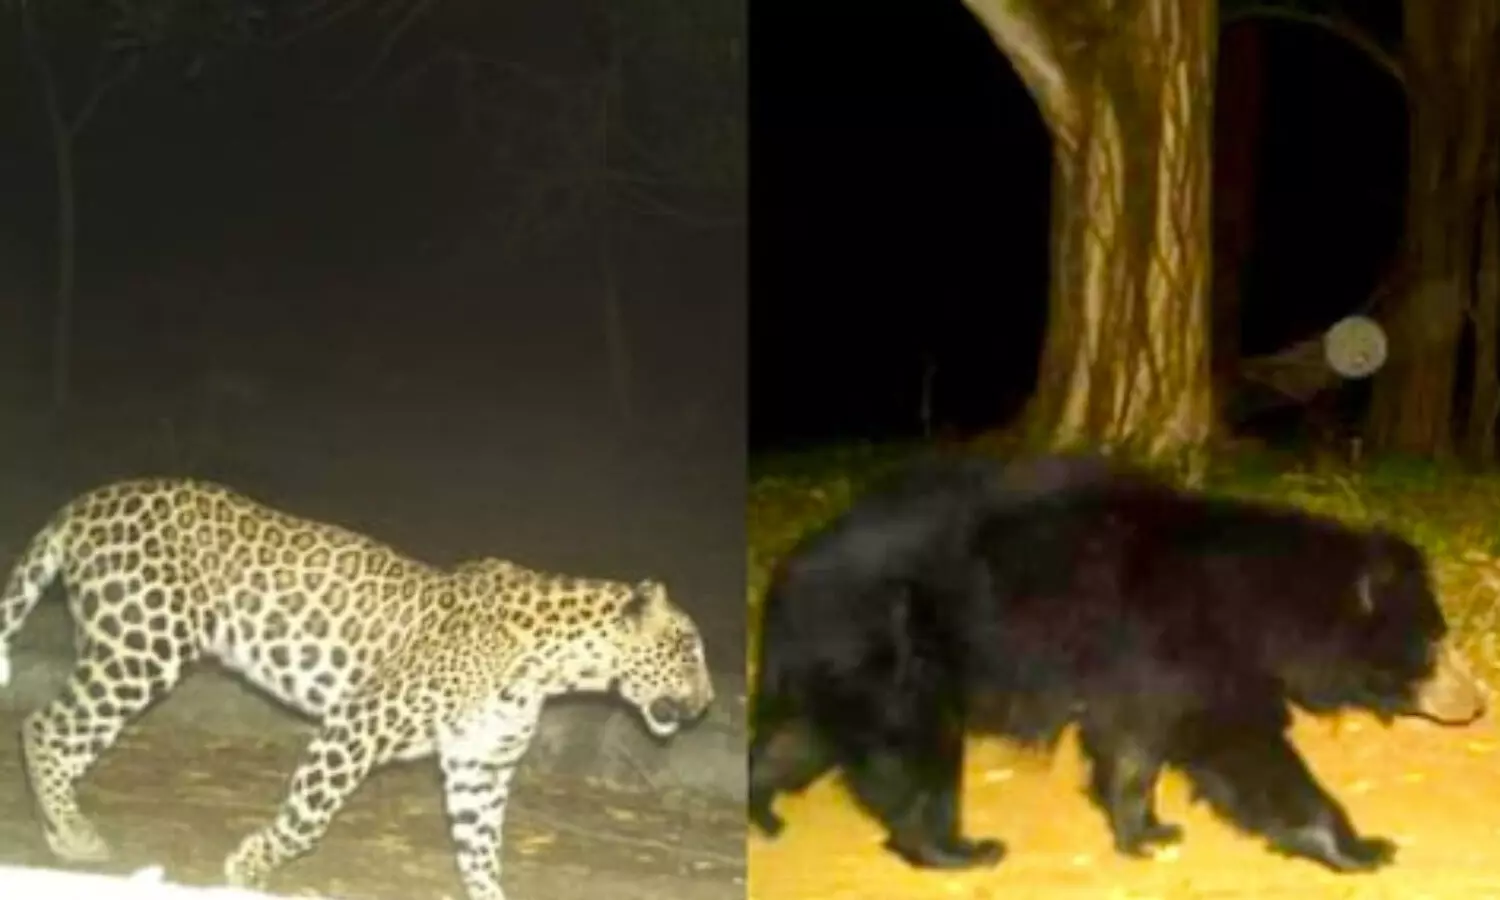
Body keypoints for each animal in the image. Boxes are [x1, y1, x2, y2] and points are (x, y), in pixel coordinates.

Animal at [0, 478, 716, 900]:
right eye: (687, 649)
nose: (708, 703)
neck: (554, 665)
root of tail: (84, 502)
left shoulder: (479, 766)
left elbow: (481, 851)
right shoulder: (357, 723)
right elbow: (307, 820)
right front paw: (249, 869)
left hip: (128, 652)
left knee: (67, 735)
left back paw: (63, 831)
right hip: (142, 648)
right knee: (45, 728)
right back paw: (73, 837)